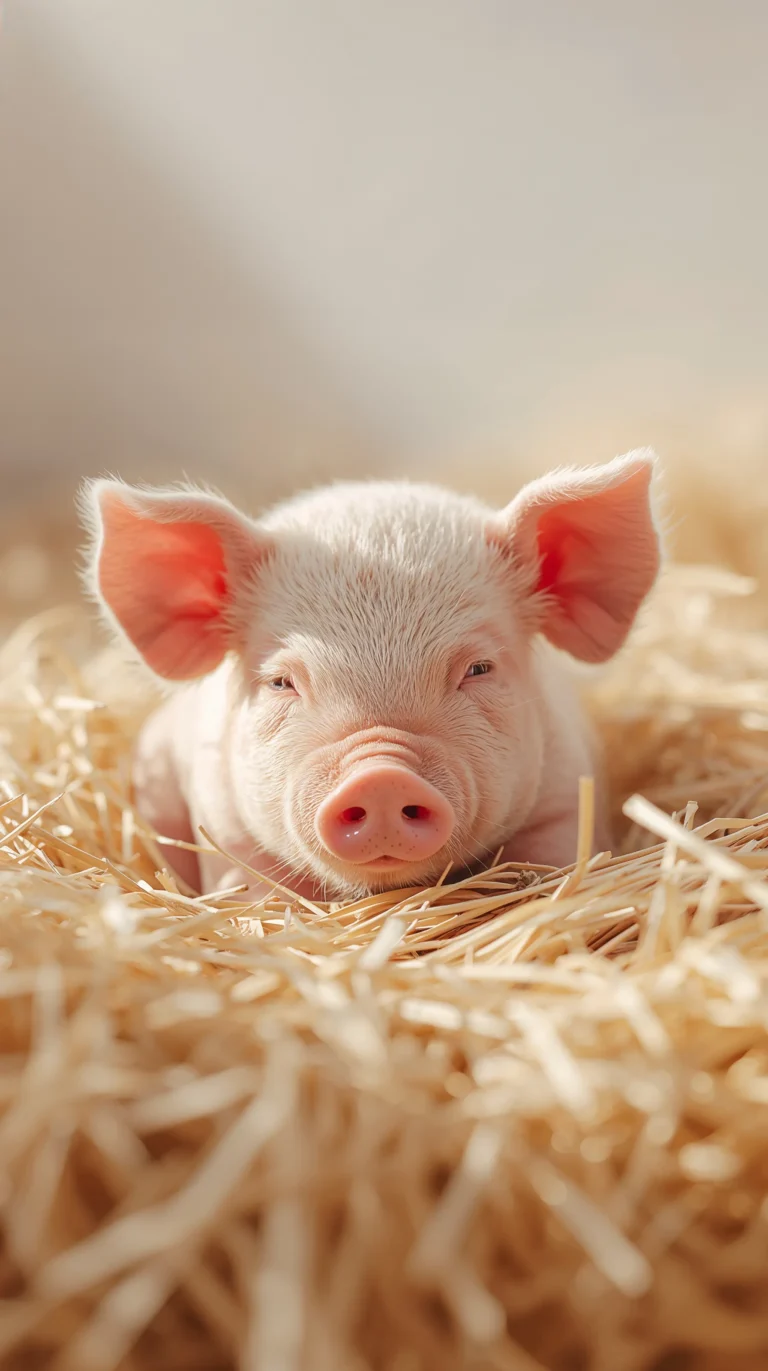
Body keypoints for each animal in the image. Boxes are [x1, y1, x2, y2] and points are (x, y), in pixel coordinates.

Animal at [81, 451, 661, 901]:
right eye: (280, 682)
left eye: (479, 669)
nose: (381, 775)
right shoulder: (222, 821)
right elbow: (253, 890)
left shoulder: (564, 792)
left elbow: (554, 857)